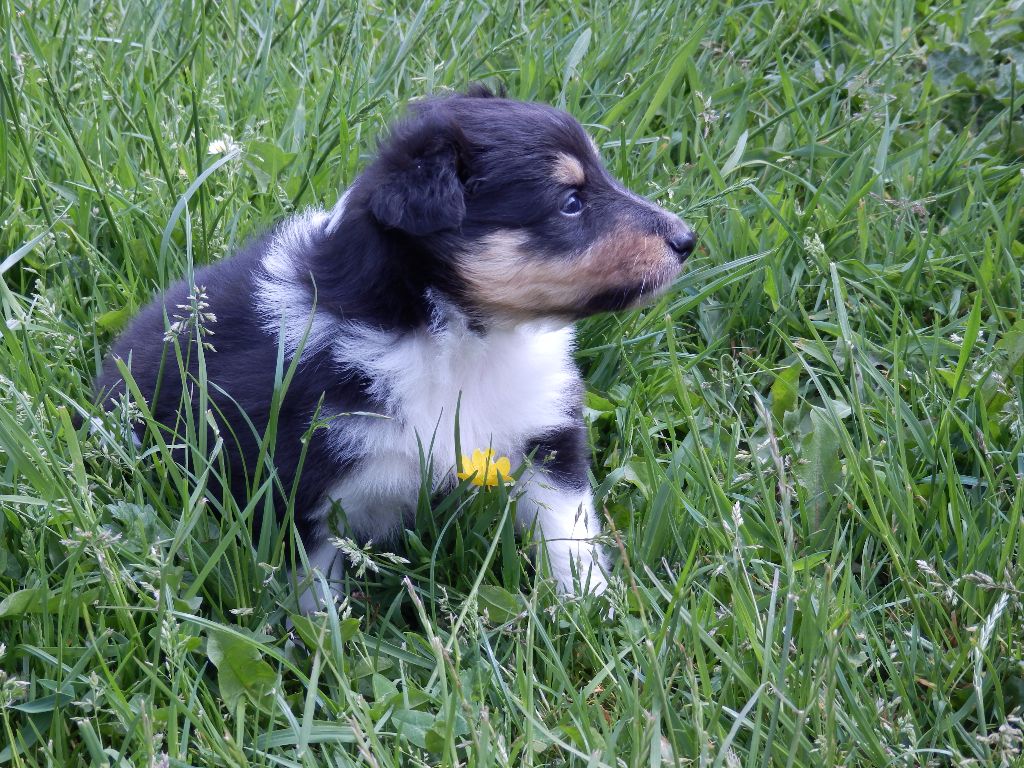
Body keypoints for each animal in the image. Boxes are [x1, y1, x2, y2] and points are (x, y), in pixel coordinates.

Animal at [96, 85, 696, 614]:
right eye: (571, 202)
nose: (688, 239)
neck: (461, 342)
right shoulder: (299, 484)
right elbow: (312, 585)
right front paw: (322, 649)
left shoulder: (546, 433)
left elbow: (568, 530)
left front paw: (592, 609)